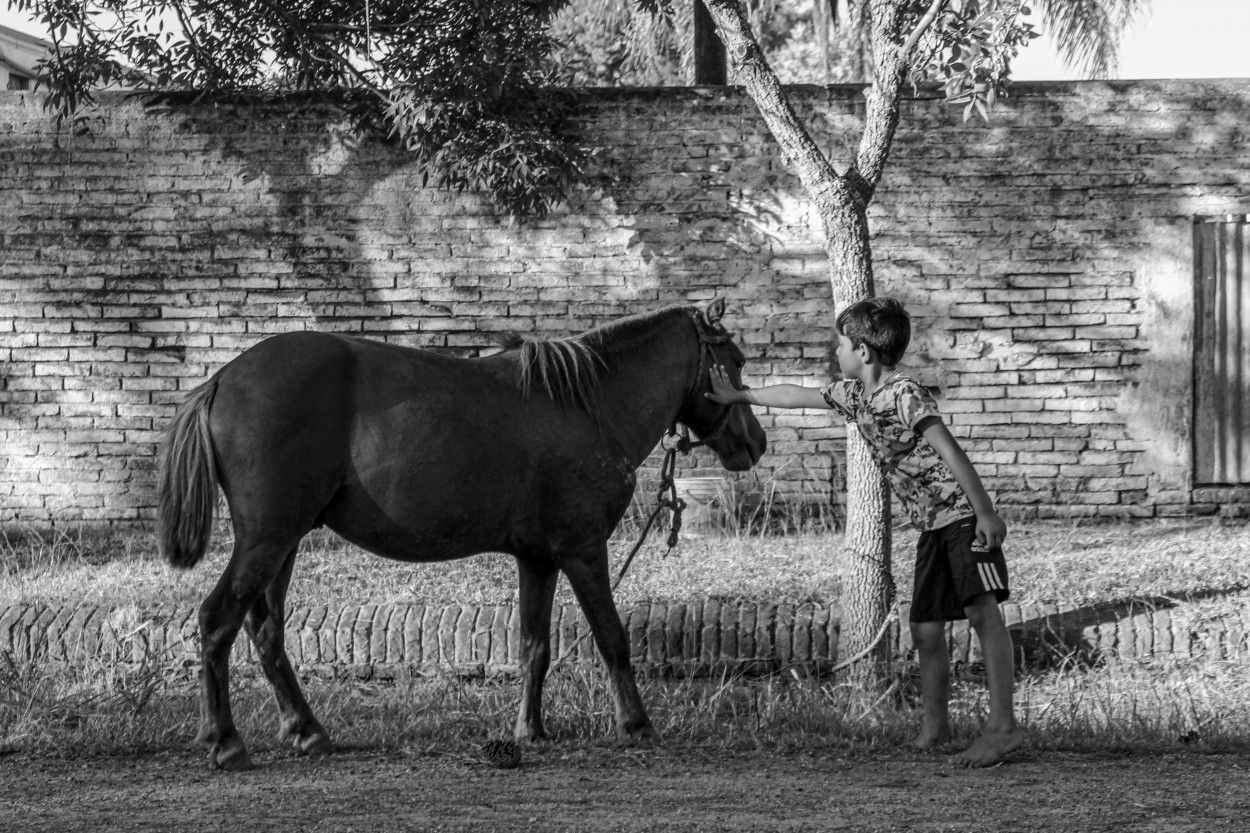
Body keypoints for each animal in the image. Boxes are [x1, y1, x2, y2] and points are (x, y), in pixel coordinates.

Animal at [156, 296, 760, 765]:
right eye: (735, 360)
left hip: (283, 543)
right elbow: (612, 638)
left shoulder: (538, 558)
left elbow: (534, 646)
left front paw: (530, 731)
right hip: (268, 539)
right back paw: (226, 741)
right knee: (218, 619)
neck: (587, 405)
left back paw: (308, 732)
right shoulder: (584, 550)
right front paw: (636, 724)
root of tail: (223, 379)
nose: (756, 442)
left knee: (266, 631)